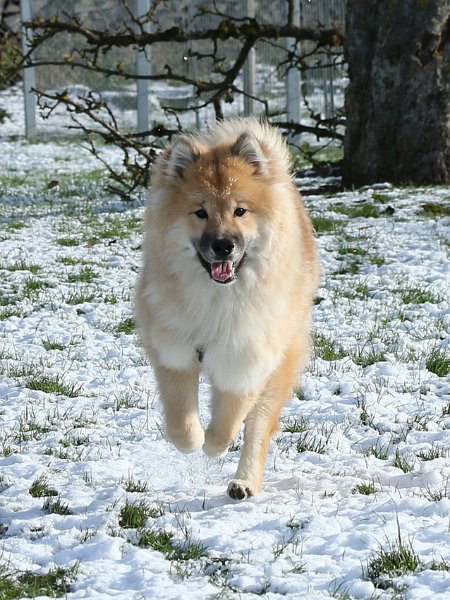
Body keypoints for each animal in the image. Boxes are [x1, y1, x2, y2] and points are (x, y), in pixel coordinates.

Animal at [134, 118, 320, 502]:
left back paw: (243, 482)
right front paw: (192, 442)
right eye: (200, 212)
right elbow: (180, 418)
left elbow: (229, 422)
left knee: (257, 428)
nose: (223, 245)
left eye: (240, 211)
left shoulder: (246, 358)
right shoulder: (174, 350)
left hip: (279, 368)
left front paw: (213, 447)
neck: (217, 298)